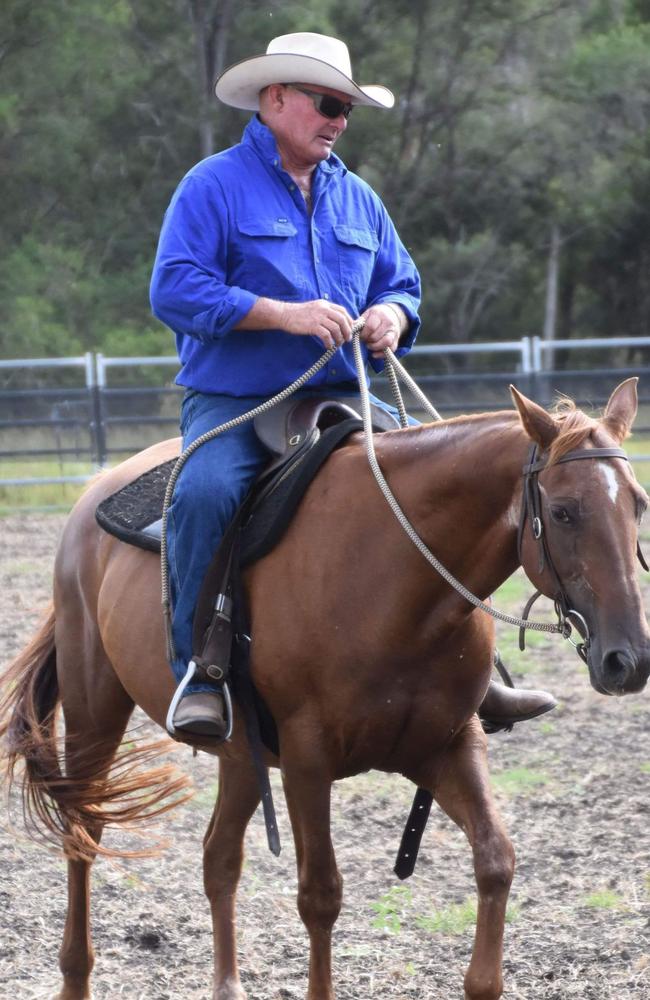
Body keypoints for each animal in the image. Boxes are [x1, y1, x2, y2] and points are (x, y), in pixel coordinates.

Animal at [1, 376, 648, 1000]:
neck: (397, 578)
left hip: (241, 753)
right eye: (563, 512)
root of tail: (90, 502)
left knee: (219, 857)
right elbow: (320, 895)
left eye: (638, 504)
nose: (629, 659)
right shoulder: (308, 760)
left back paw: (227, 986)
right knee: (84, 829)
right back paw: (75, 977)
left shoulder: (449, 744)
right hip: (94, 709)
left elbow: (496, 860)